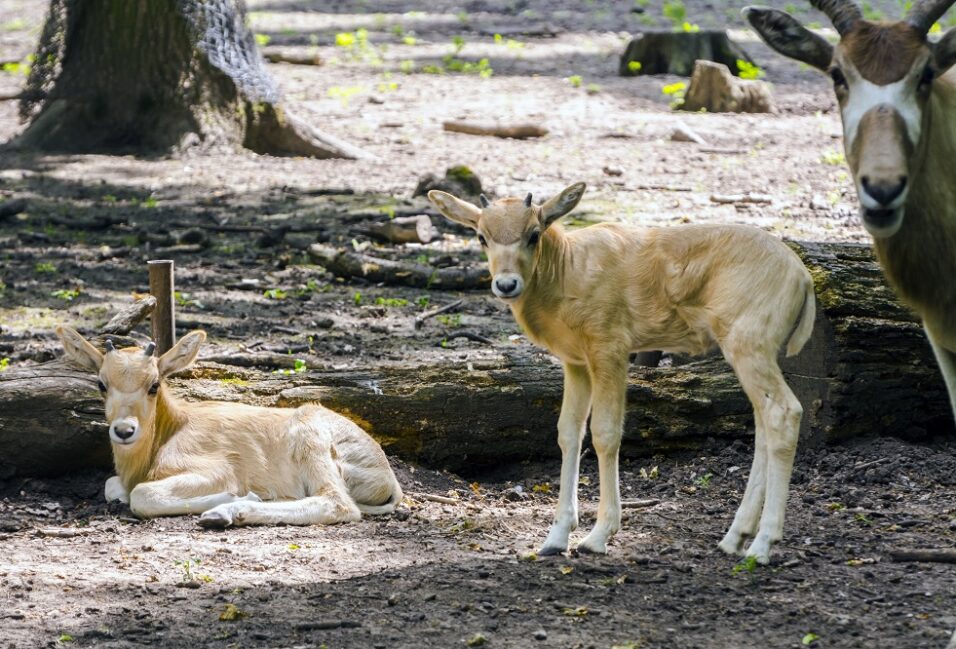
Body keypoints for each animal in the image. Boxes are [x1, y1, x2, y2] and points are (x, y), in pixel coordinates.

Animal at [57, 324, 400, 528]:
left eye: (154, 384)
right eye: (102, 384)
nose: (125, 431)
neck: (172, 429)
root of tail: (385, 473)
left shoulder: (217, 470)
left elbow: (141, 495)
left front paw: (235, 499)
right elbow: (112, 486)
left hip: (311, 440)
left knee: (338, 503)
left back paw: (227, 512)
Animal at [432, 184, 816, 560]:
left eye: (533, 233)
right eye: (481, 235)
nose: (506, 285)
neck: (569, 270)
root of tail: (803, 278)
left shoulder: (611, 350)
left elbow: (605, 433)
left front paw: (598, 536)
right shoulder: (576, 363)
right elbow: (568, 433)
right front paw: (555, 539)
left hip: (748, 347)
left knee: (784, 413)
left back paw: (762, 545)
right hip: (754, 353)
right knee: (763, 422)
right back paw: (735, 538)